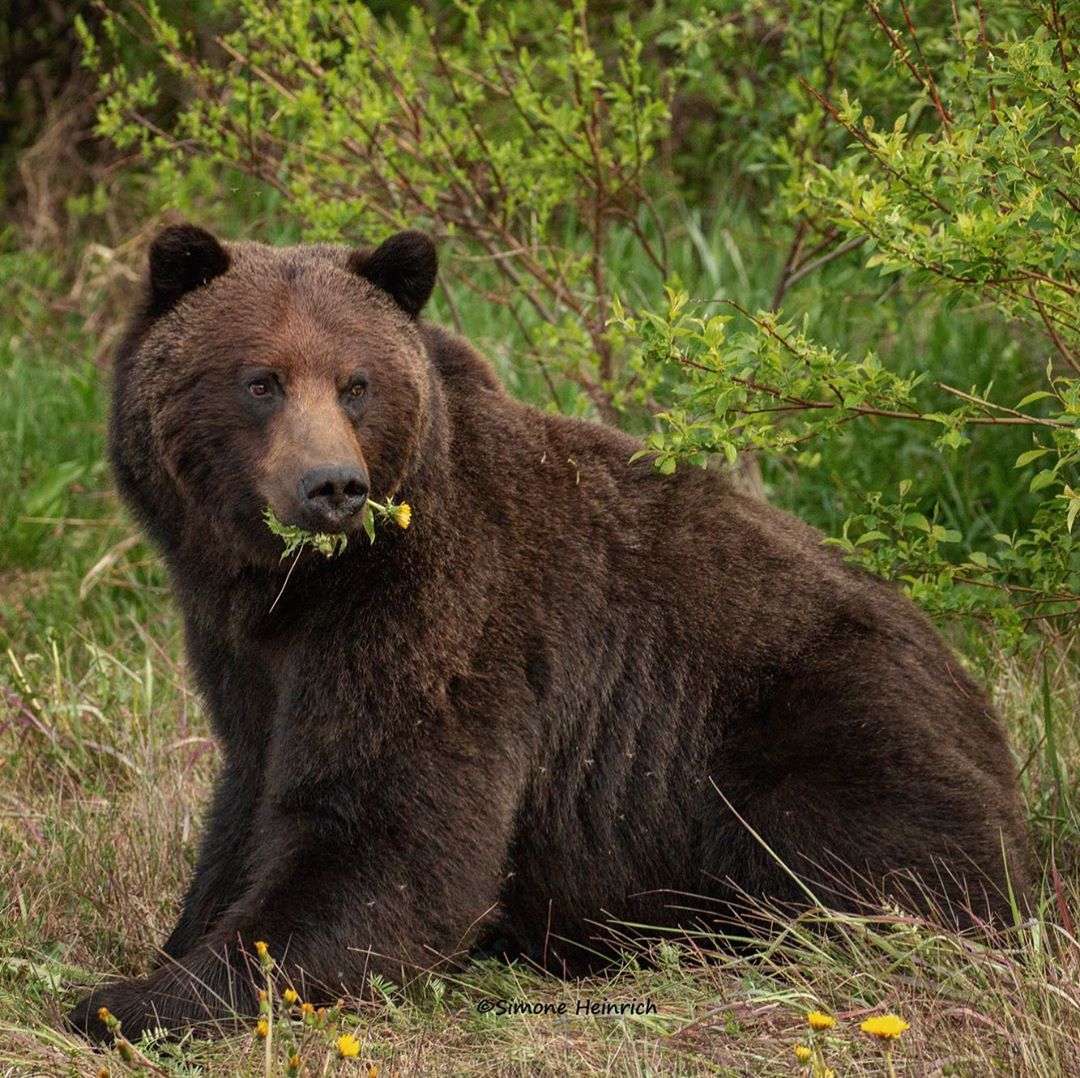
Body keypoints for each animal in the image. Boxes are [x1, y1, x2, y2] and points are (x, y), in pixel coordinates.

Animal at [67, 225, 1028, 1036]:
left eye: (355, 383)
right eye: (260, 380)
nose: (333, 486)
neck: (299, 586)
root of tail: (988, 717)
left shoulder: (438, 613)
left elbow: (384, 833)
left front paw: (137, 998)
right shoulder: (242, 648)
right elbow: (252, 793)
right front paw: (168, 951)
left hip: (809, 717)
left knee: (864, 849)